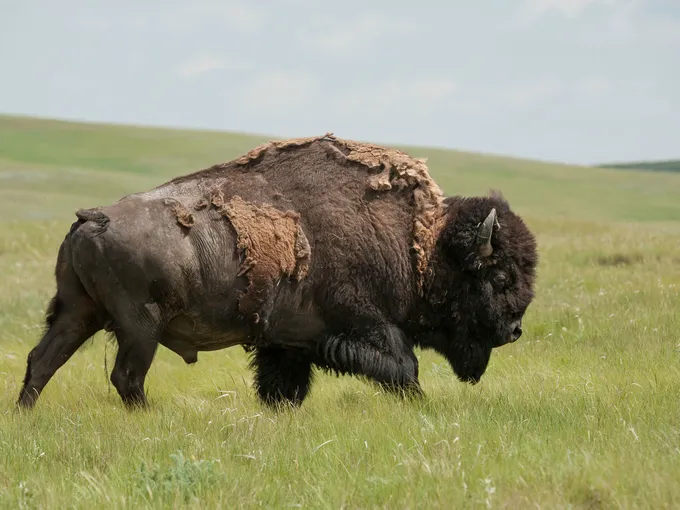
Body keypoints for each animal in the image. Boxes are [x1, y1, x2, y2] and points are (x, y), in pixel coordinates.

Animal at [17, 133, 538, 409]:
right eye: (499, 277)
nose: (514, 330)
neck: (419, 245)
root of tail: (93, 219)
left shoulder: (285, 345)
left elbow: (282, 388)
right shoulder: (368, 322)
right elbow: (403, 368)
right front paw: (418, 404)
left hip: (77, 312)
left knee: (43, 360)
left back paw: (25, 417)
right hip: (138, 326)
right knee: (126, 377)